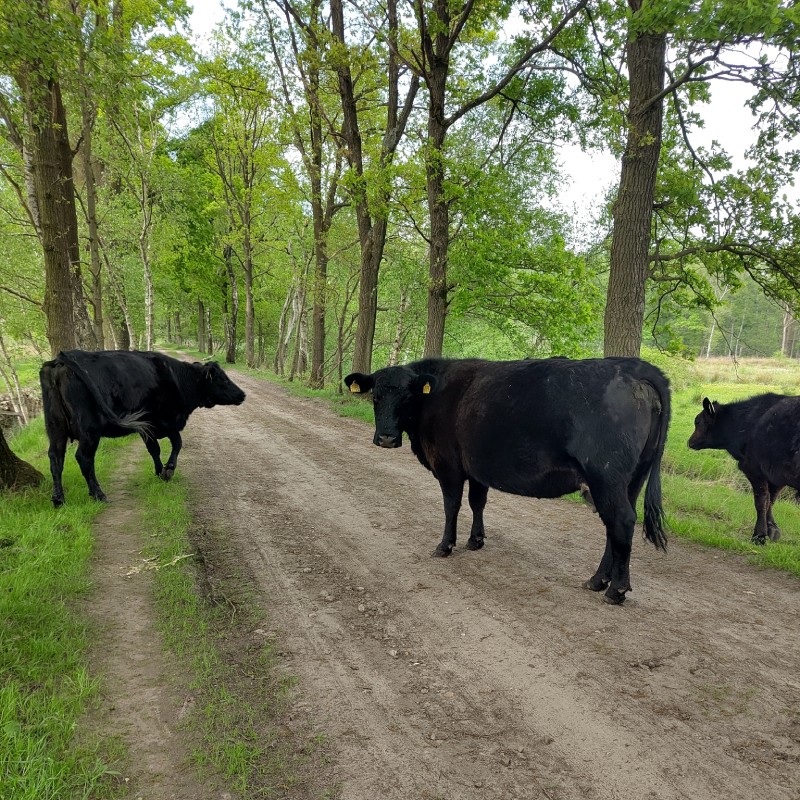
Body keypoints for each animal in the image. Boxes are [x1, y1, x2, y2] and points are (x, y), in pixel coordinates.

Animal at [40, 350, 246, 507]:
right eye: (224, 380)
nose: (242, 394)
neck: (177, 379)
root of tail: (62, 358)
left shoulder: (147, 428)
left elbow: (154, 449)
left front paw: (159, 471)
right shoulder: (165, 422)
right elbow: (177, 443)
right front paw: (168, 469)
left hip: (55, 426)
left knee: (55, 458)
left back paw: (58, 499)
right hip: (90, 430)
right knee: (84, 458)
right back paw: (98, 494)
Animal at [344, 357, 671, 605]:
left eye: (408, 397)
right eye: (375, 397)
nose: (386, 439)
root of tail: (633, 366)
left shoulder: (448, 465)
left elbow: (452, 506)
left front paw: (445, 545)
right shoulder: (476, 468)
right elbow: (477, 502)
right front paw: (475, 540)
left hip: (606, 477)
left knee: (622, 523)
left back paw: (616, 590)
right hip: (629, 481)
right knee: (614, 527)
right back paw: (597, 580)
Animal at [688, 393, 800, 544]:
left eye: (698, 422)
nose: (690, 442)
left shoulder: (753, 469)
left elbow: (761, 501)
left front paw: (759, 536)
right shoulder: (777, 477)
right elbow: (771, 500)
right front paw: (772, 530)